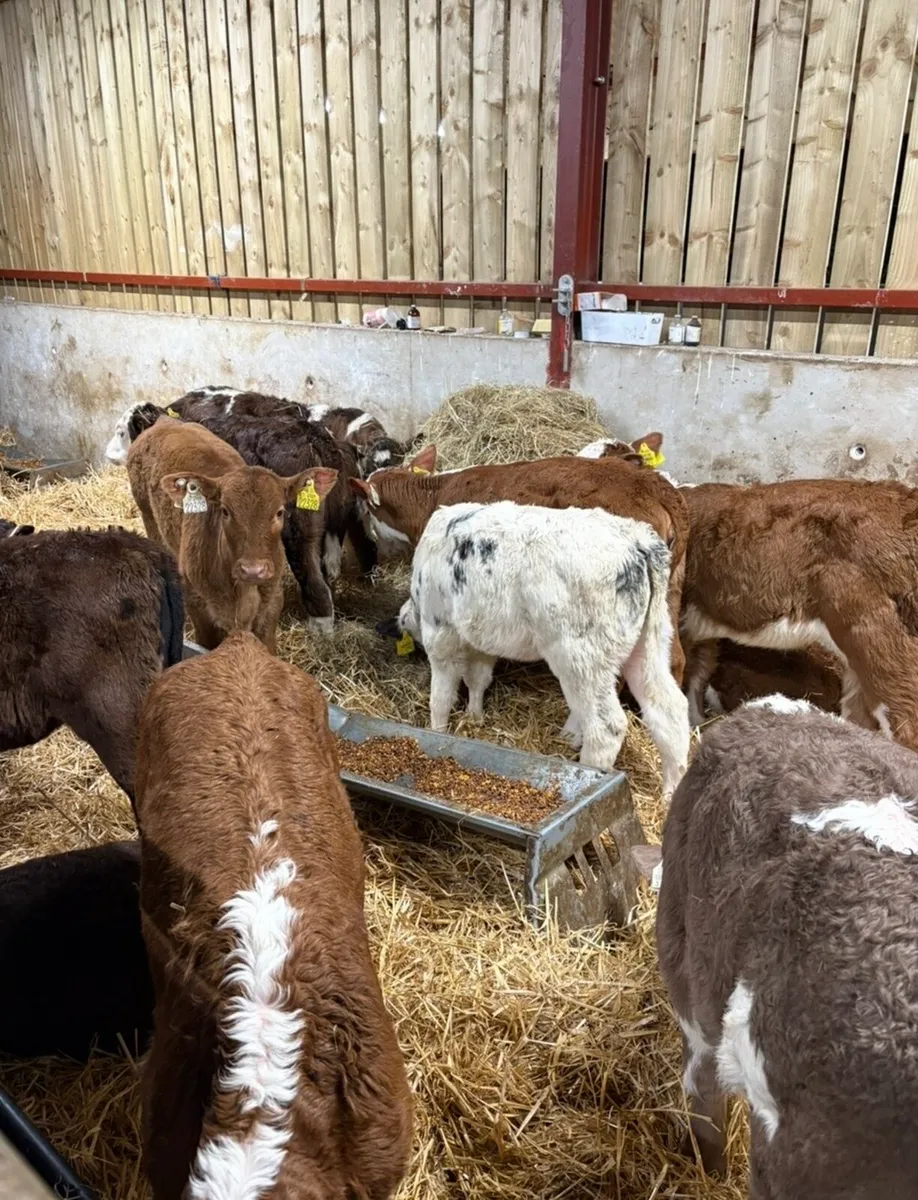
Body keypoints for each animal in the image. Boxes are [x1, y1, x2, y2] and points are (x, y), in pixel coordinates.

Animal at [126, 417, 336, 650]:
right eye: (225, 511)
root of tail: (165, 421)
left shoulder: (271, 605)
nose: (253, 570)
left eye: (280, 512)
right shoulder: (199, 607)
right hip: (148, 516)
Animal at [352, 444, 690, 683]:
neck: (431, 499)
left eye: (366, 510)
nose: (375, 549)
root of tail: (650, 486)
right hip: (670, 591)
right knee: (673, 659)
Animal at [393, 501, 690, 796]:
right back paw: (670, 791)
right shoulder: (480, 638)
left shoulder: (440, 632)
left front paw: (436, 731)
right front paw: (474, 717)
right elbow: (478, 678)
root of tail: (637, 540)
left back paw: (590, 773)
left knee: (606, 728)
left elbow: (441, 697)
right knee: (668, 708)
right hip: (650, 643)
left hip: (582, 657)